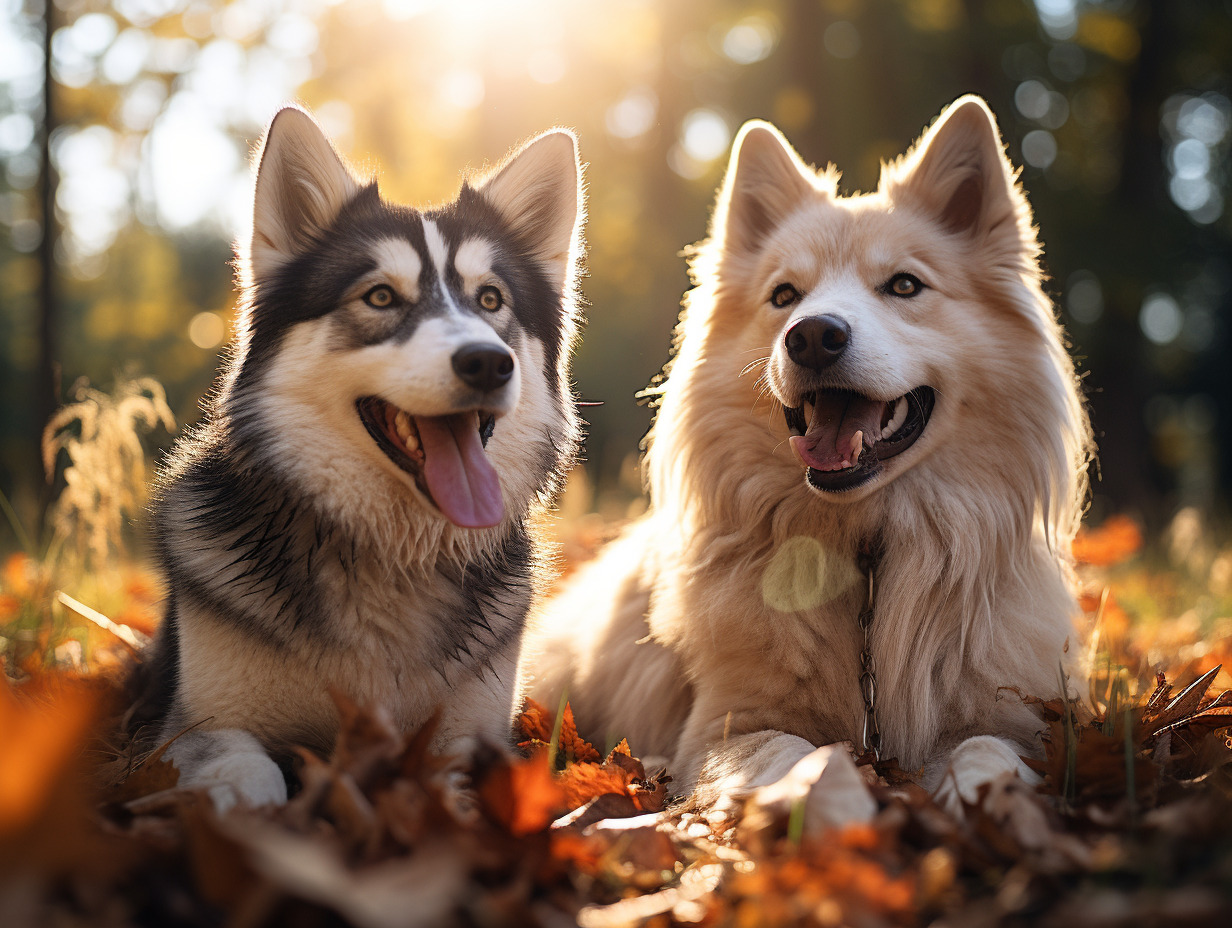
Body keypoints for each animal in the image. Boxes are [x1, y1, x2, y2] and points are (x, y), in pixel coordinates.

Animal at [517, 94, 1089, 803]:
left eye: (905, 286)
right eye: (785, 295)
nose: (813, 335)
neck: (869, 555)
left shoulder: (1011, 718)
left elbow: (988, 753)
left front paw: (981, 804)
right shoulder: (724, 731)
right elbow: (799, 757)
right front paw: (838, 807)